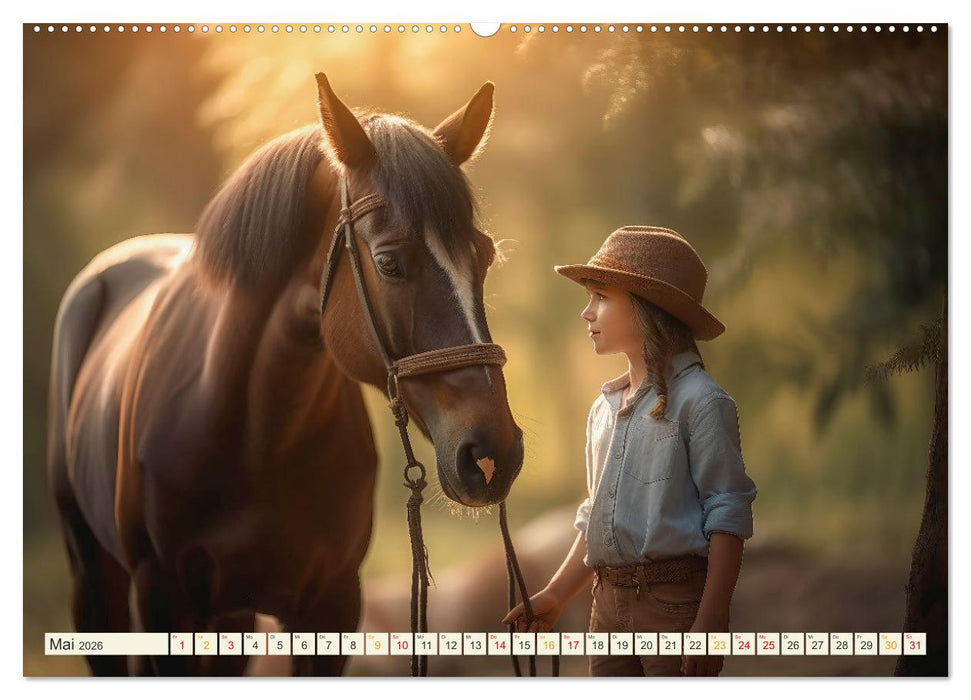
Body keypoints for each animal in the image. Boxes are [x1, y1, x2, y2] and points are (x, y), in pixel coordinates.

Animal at [46, 73, 525, 676]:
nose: (492, 450)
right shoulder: (163, 600)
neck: (254, 433)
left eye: (482, 257)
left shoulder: (331, 605)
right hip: (96, 583)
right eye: (389, 262)